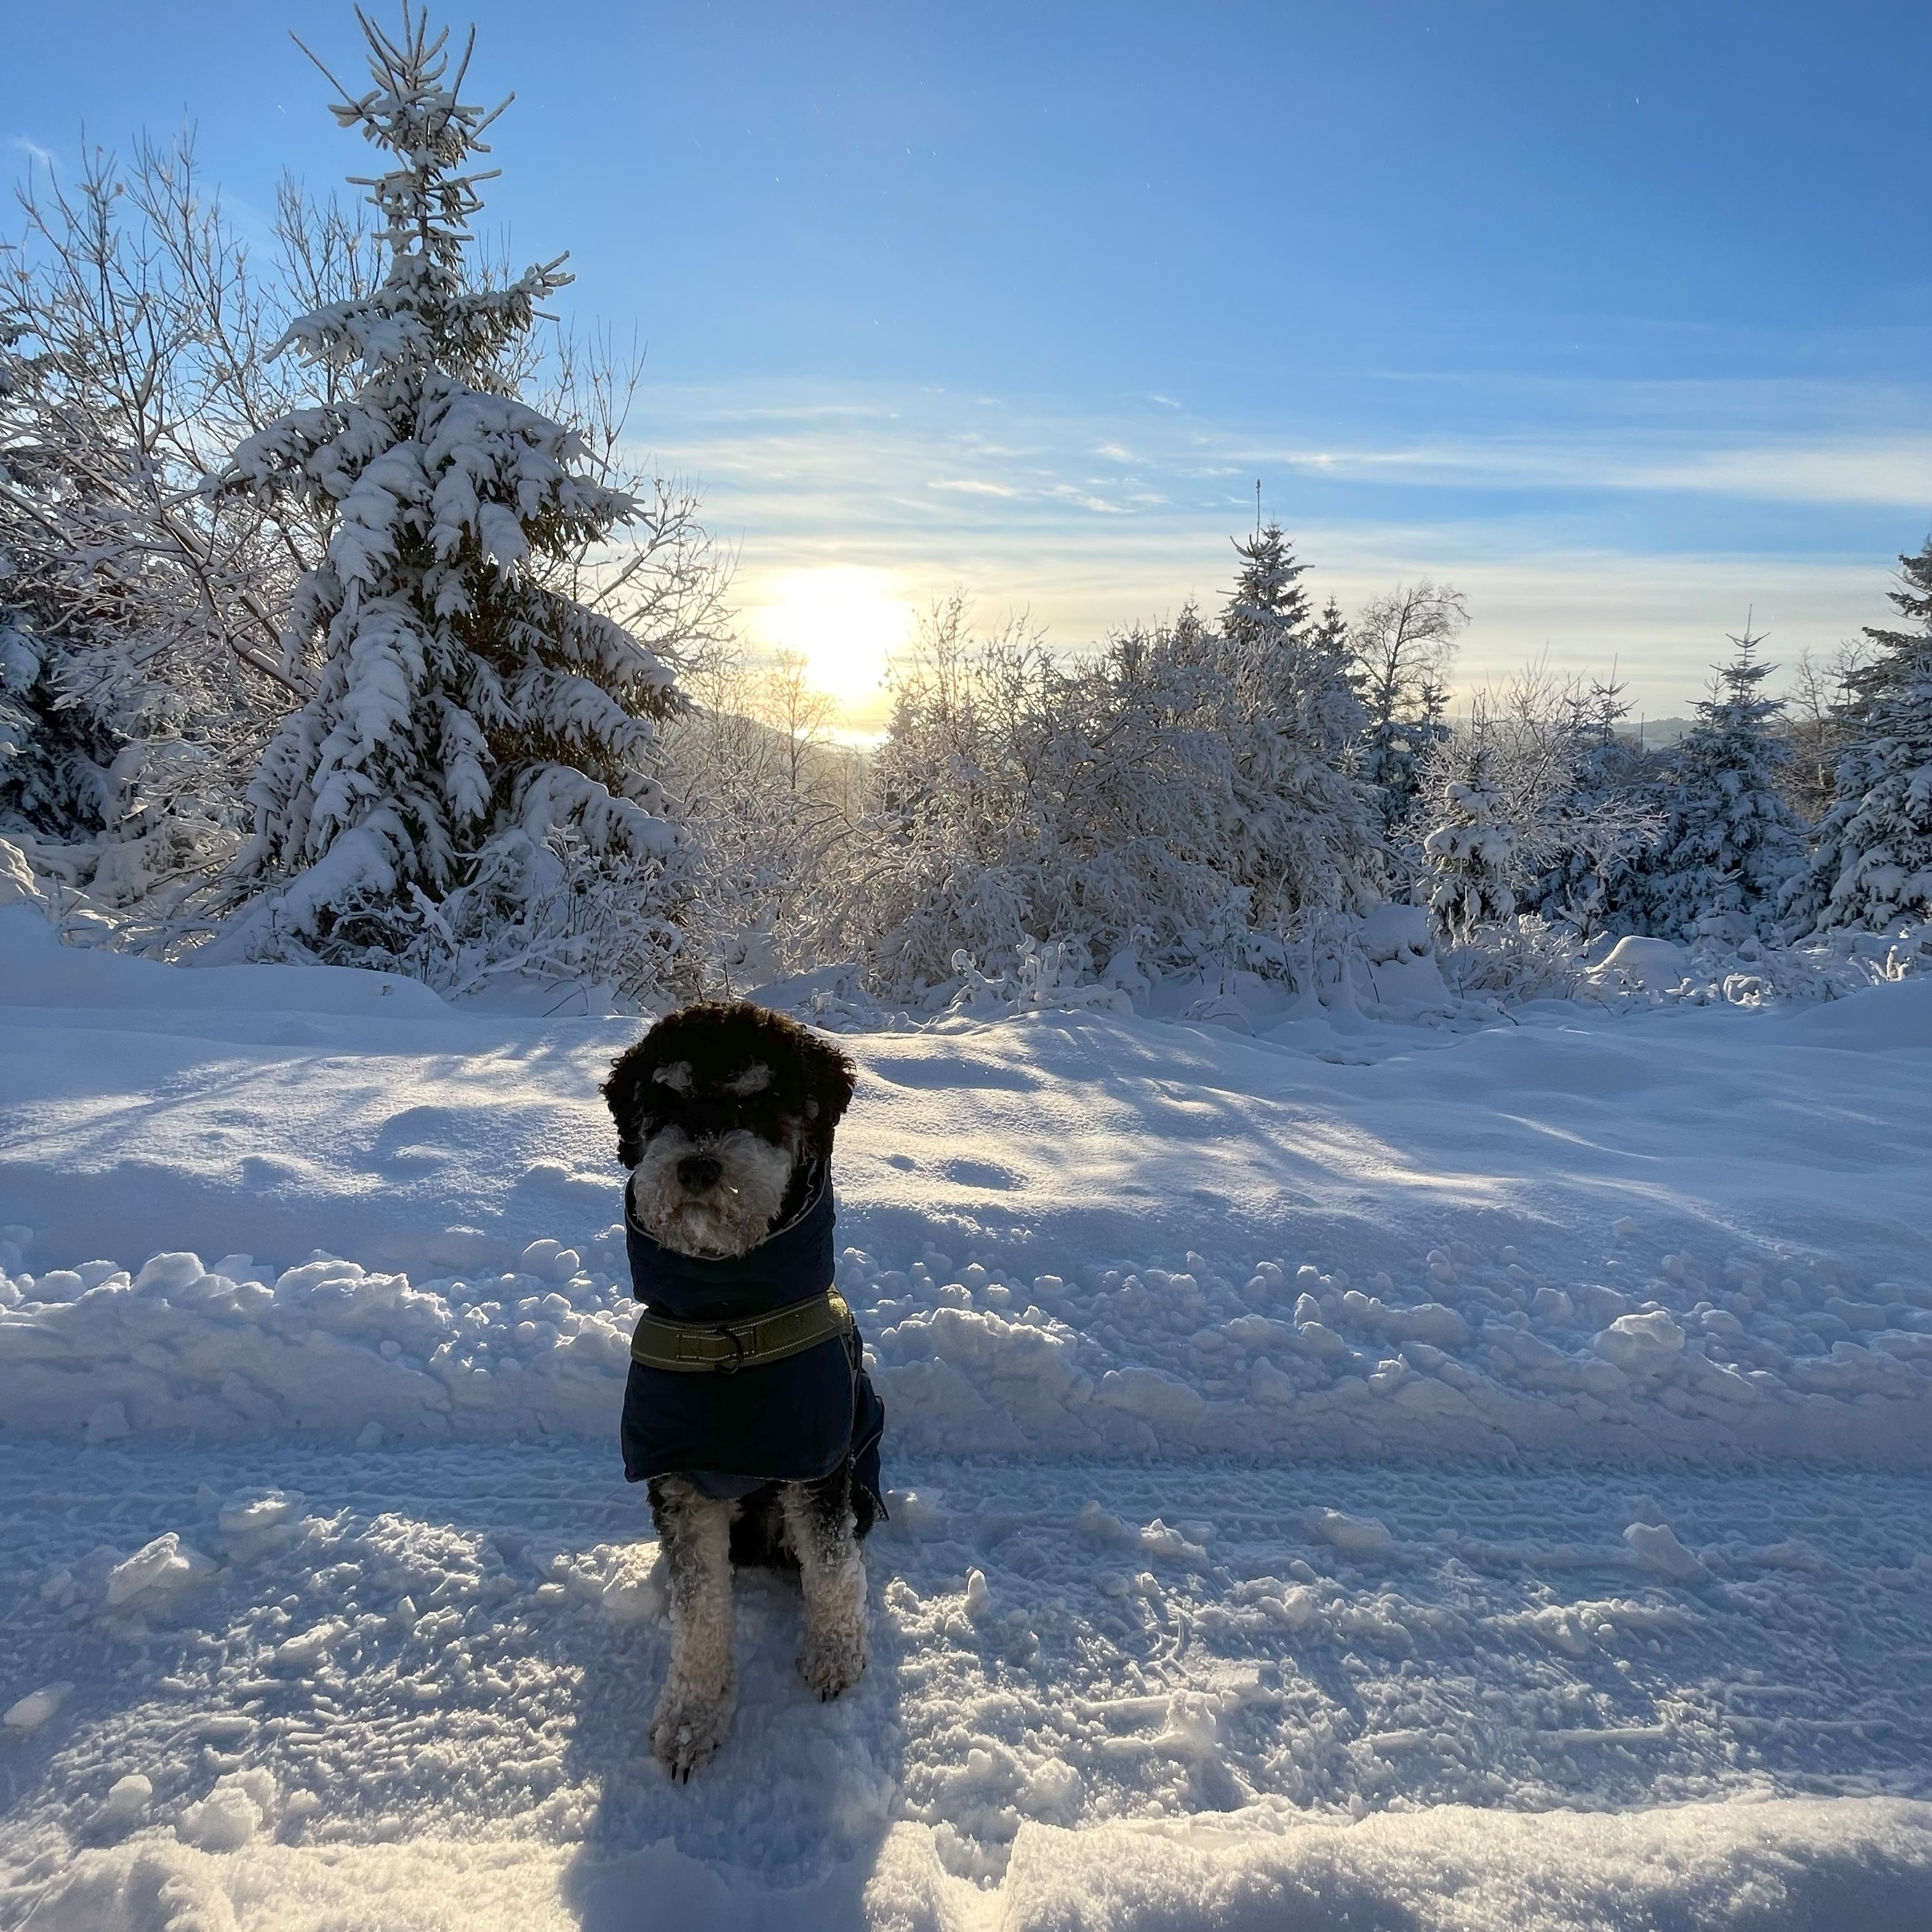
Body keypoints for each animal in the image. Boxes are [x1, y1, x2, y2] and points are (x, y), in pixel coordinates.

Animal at [599, 1012, 884, 1777]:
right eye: (663, 1099)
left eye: (760, 1100)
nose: (697, 1167)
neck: (726, 1318)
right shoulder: (675, 1474)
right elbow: (701, 1607)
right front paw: (691, 1718)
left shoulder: (817, 1463)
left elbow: (834, 1566)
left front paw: (834, 1653)